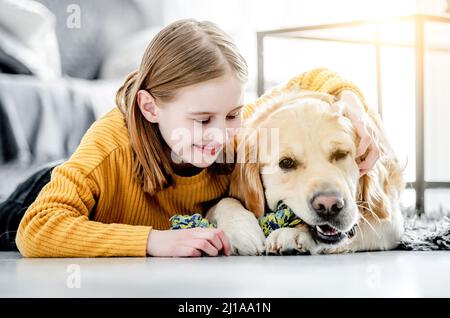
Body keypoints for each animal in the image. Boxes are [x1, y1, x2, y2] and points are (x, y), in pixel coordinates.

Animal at [207, 89, 404, 256]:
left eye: (340, 154)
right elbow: (225, 201)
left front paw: (292, 233)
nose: (329, 206)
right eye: (286, 162)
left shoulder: (390, 222)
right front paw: (241, 230)